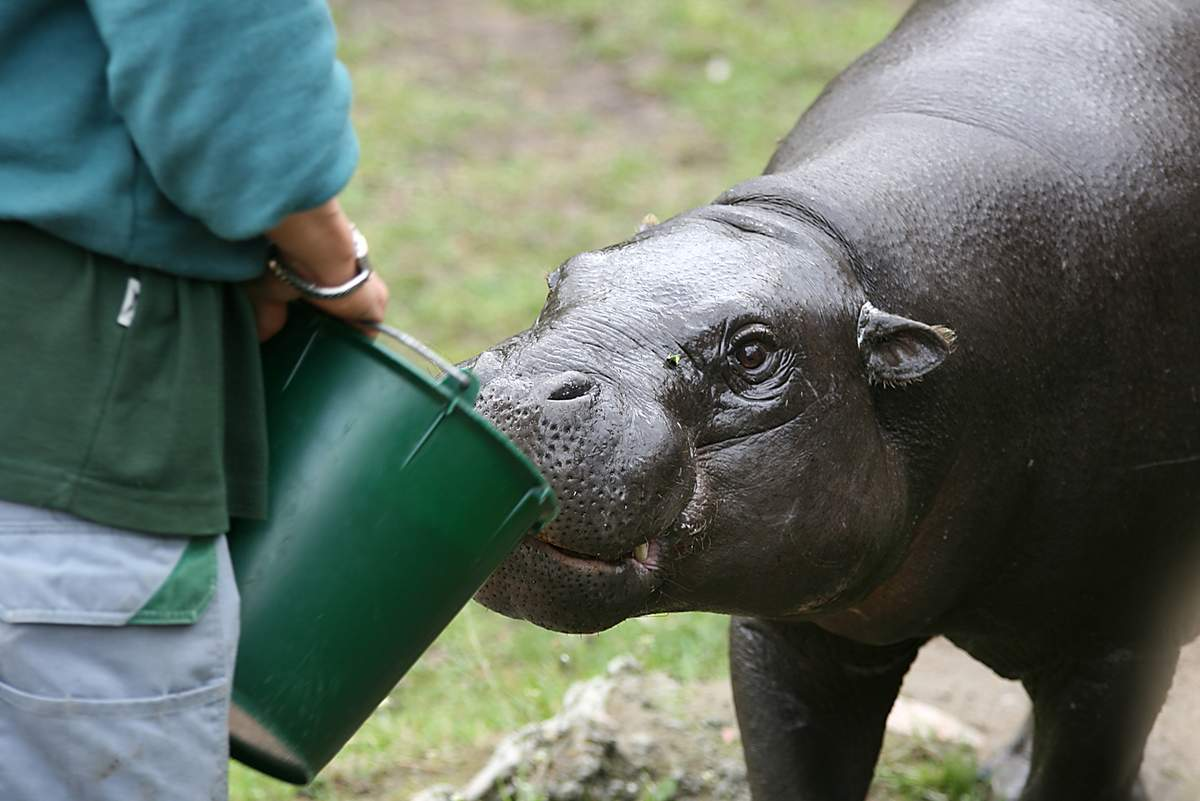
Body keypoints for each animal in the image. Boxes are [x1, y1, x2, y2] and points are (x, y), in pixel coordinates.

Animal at [465, 3, 1200, 796]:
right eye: (562, 276)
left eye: (754, 352)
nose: (522, 393)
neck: (826, 241)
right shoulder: (793, 626)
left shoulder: (1115, 652)